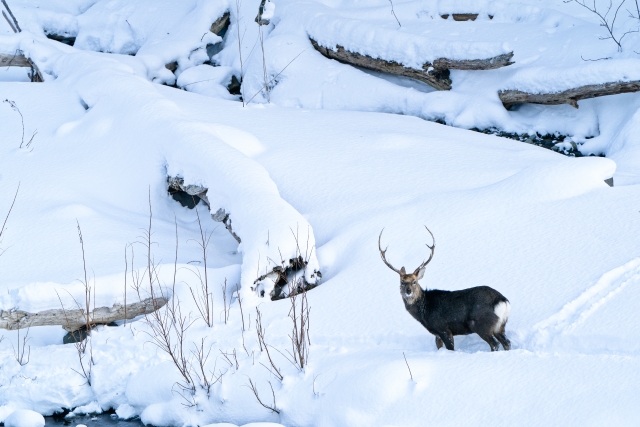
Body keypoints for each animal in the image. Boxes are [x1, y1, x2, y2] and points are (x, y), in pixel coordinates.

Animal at [380, 227, 510, 352]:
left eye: (414, 281)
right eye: (402, 282)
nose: (408, 291)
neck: (425, 311)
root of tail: (503, 301)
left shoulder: (443, 328)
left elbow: (450, 348)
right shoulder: (437, 334)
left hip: (481, 324)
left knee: (495, 344)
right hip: (500, 326)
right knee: (507, 342)